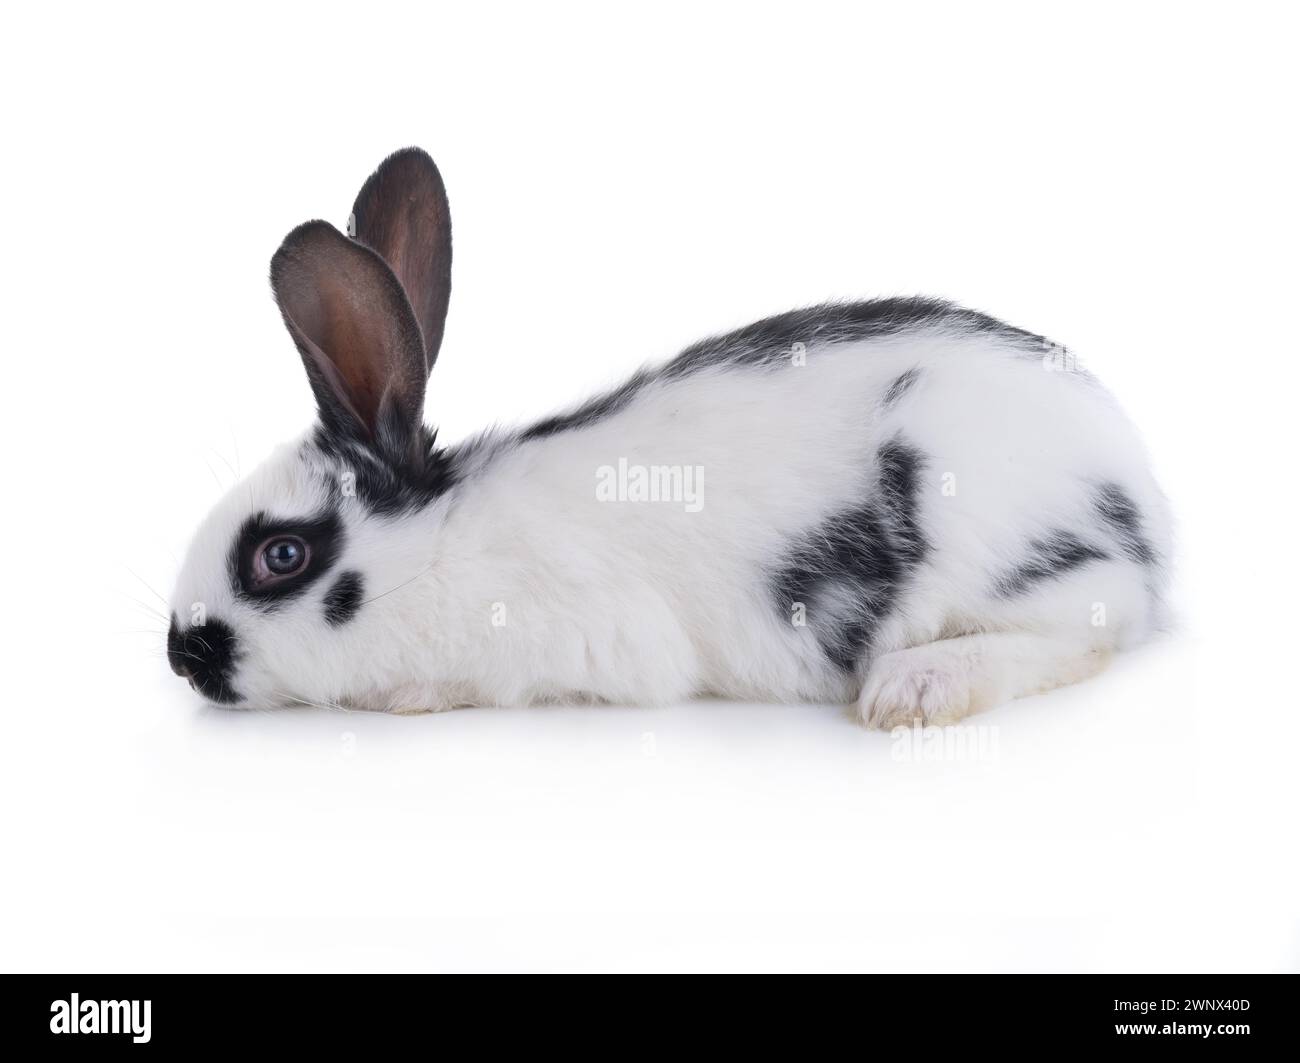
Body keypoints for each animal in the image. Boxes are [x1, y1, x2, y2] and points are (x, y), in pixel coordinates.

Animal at [167, 147, 1171, 727]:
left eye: (282, 555)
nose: (182, 655)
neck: (440, 550)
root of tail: (1148, 511)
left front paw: (402, 697)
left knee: (1090, 625)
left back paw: (918, 689)